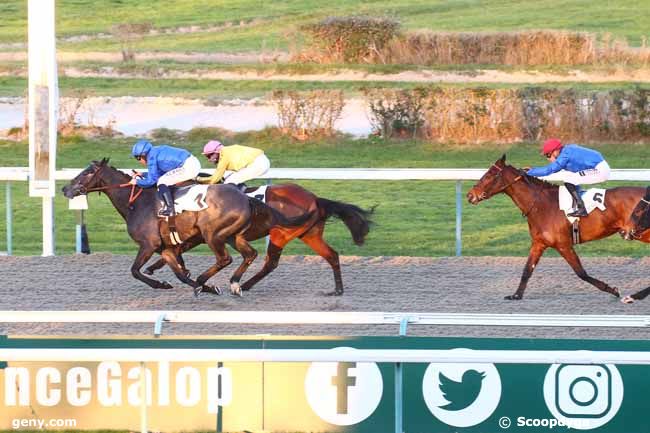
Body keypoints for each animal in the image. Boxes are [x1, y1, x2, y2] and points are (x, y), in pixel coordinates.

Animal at [62, 157, 310, 296]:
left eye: (87, 172)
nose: (65, 189)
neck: (137, 203)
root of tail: (245, 197)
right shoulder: (166, 248)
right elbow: (179, 273)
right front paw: (205, 287)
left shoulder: (148, 244)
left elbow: (135, 270)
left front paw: (165, 284)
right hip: (233, 235)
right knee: (250, 255)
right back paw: (233, 284)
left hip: (213, 234)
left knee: (226, 259)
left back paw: (211, 280)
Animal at [144, 181, 372, 296]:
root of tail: (315, 199)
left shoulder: (202, 235)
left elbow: (176, 250)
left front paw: (155, 268)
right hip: (309, 234)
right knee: (331, 255)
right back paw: (338, 290)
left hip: (280, 234)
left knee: (271, 262)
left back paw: (243, 285)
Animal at [466, 154, 644, 300]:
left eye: (489, 175)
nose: (469, 195)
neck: (541, 205)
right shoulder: (539, 243)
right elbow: (527, 270)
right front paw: (516, 295)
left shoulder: (563, 245)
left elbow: (581, 273)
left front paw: (612, 289)